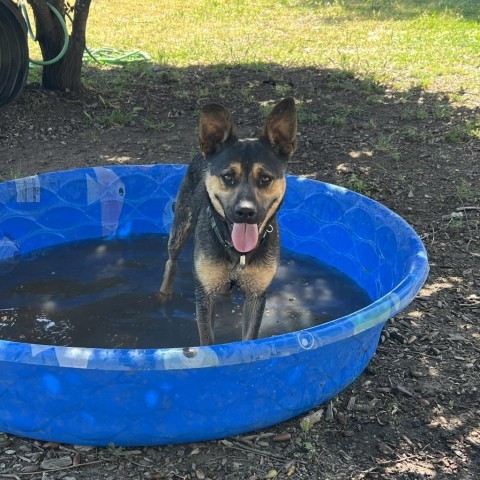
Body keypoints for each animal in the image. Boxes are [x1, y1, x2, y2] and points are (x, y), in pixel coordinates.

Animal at [160, 97, 296, 344]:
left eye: (265, 178)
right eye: (228, 176)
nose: (245, 212)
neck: (237, 252)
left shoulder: (257, 295)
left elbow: (249, 340)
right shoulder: (204, 294)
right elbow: (207, 341)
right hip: (181, 225)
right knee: (171, 262)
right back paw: (164, 294)